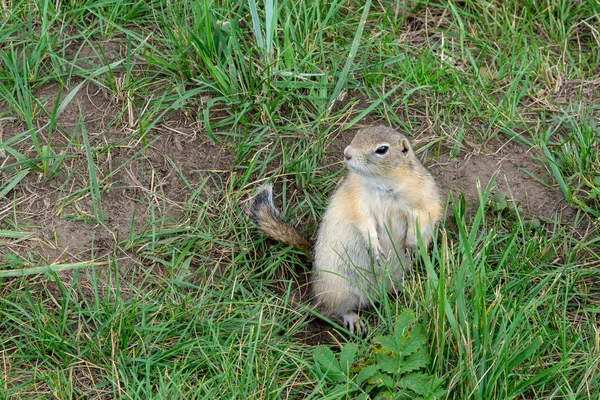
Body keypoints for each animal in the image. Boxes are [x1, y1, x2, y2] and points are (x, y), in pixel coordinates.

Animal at [247, 125, 440, 334]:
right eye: (358, 134)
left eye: (382, 149)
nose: (347, 153)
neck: (383, 183)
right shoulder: (357, 200)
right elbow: (364, 222)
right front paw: (375, 246)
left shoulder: (423, 197)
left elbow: (423, 218)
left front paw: (412, 244)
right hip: (341, 289)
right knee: (336, 309)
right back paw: (353, 320)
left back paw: (403, 290)